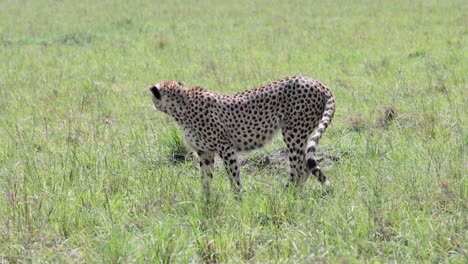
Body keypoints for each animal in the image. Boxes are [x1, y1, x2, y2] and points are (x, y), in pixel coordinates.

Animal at [148, 75, 334, 193]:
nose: (153, 104)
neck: (180, 106)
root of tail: (316, 81)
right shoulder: (204, 152)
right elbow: (205, 180)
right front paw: (205, 202)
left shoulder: (226, 148)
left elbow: (234, 178)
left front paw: (239, 200)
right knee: (305, 167)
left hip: (293, 133)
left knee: (299, 169)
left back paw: (287, 194)